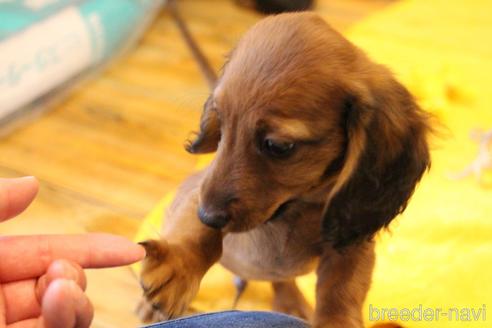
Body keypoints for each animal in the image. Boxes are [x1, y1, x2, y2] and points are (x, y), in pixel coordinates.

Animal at [137, 11, 430, 326]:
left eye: (278, 146)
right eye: (222, 122)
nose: (208, 215)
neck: (290, 213)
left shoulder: (351, 244)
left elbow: (340, 291)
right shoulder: (196, 193)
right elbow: (195, 231)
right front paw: (179, 265)